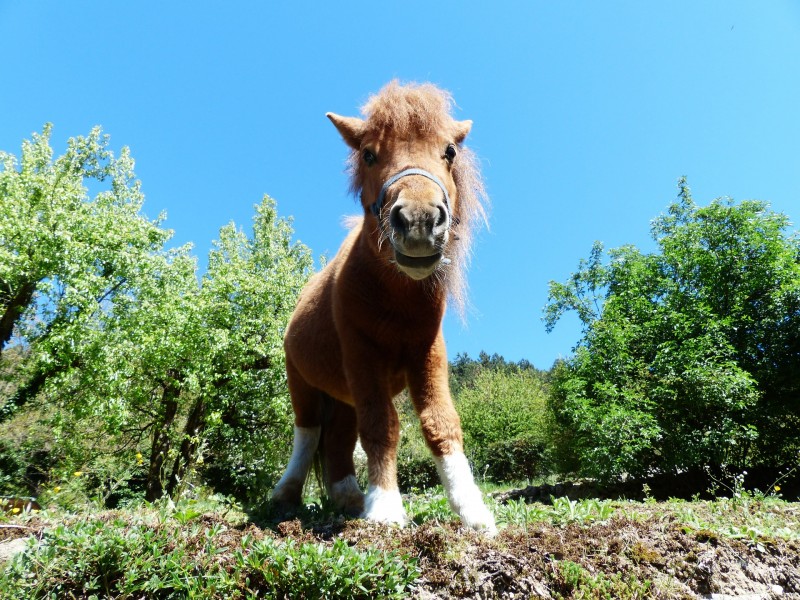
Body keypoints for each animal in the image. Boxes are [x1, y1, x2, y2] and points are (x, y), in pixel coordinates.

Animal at [270, 81, 494, 536]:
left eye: (449, 151)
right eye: (369, 154)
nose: (420, 221)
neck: (396, 299)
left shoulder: (427, 356)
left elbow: (441, 423)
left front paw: (473, 510)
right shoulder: (363, 356)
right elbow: (382, 426)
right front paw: (387, 508)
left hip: (342, 396)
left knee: (338, 441)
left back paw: (349, 498)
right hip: (303, 384)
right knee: (307, 434)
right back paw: (286, 494)